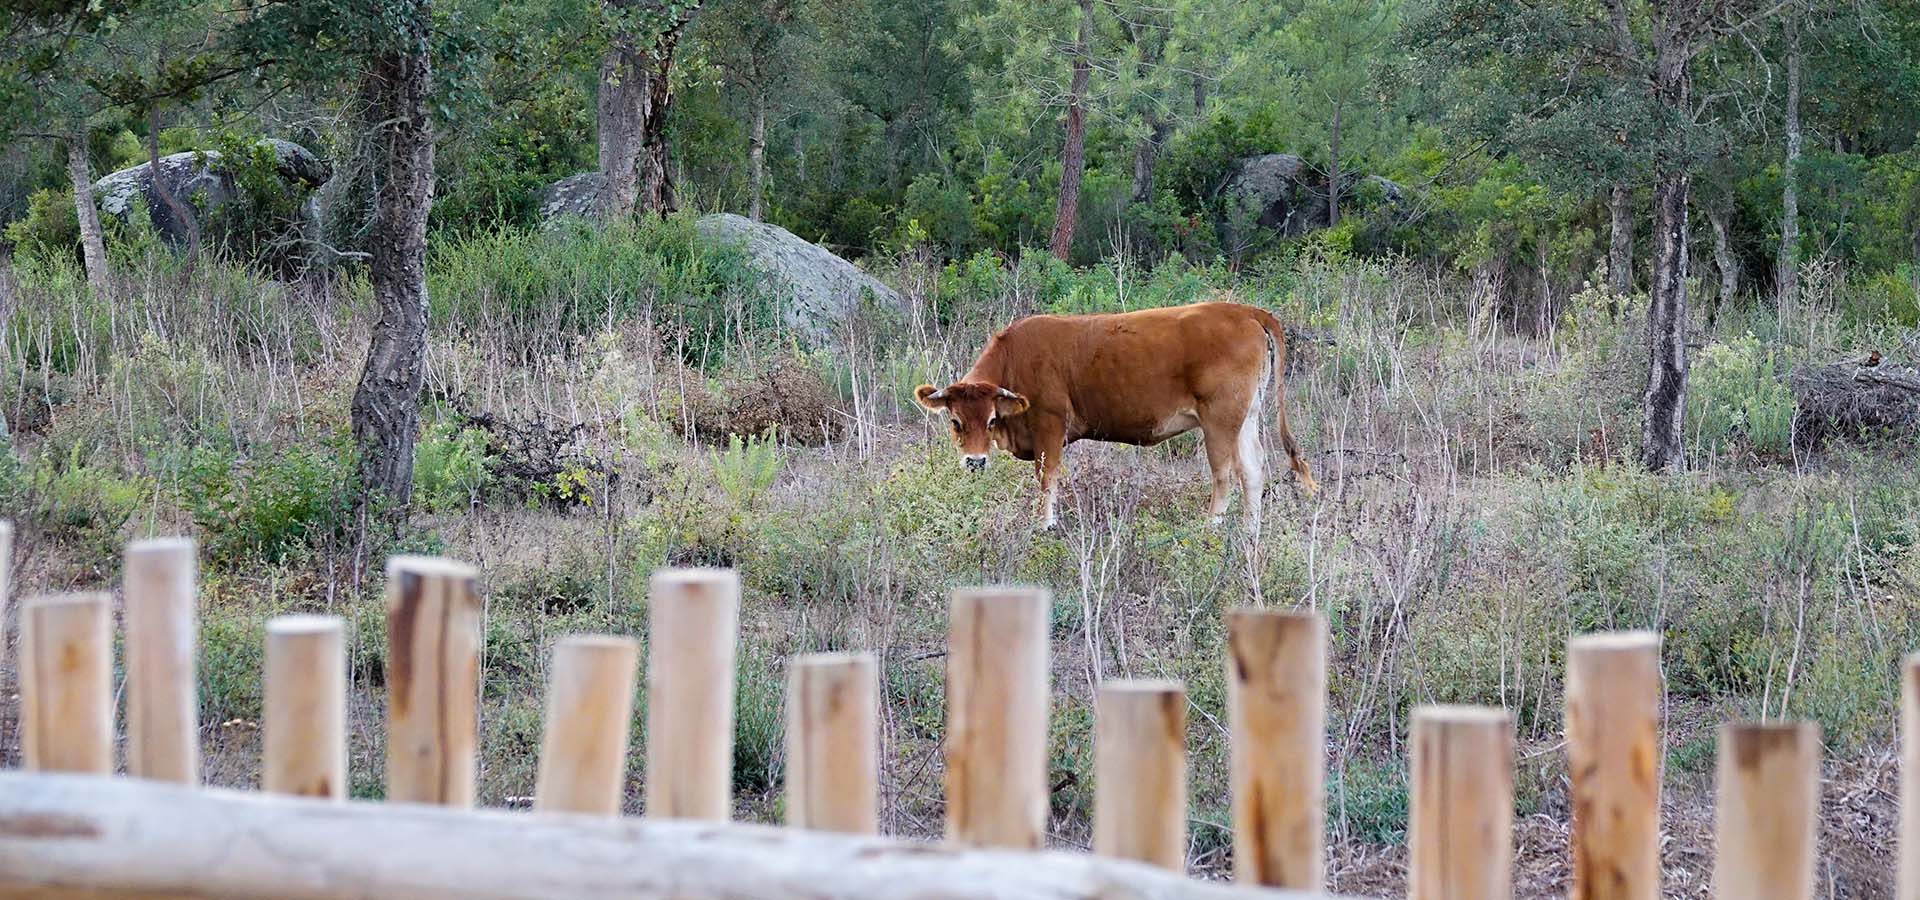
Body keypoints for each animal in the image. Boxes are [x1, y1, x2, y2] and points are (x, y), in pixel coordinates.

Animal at [914, 300, 1317, 534]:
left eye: (992, 420)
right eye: (955, 421)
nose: (975, 462)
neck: (1016, 357)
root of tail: (1243, 310)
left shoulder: (1049, 426)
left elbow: (1047, 479)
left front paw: (1045, 524)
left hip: (1219, 420)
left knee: (1225, 475)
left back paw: (1210, 528)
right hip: (1245, 418)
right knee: (1252, 469)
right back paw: (1250, 532)